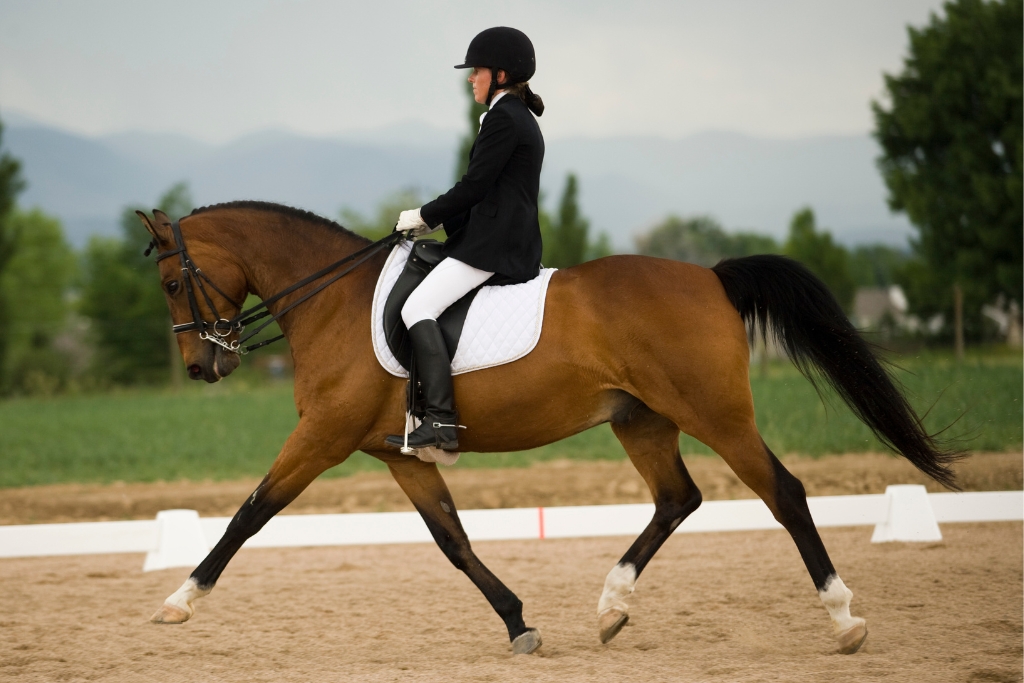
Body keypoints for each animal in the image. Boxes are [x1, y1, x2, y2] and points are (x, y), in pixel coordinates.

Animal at [138, 201, 958, 655]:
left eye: (175, 281)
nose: (201, 366)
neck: (333, 299)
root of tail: (712, 276)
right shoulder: (397, 454)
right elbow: (454, 541)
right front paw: (518, 624)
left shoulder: (324, 439)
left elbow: (250, 513)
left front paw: (180, 601)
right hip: (643, 420)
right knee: (677, 498)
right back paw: (611, 607)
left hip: (716, 414)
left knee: (783, 492)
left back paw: (844, 619)